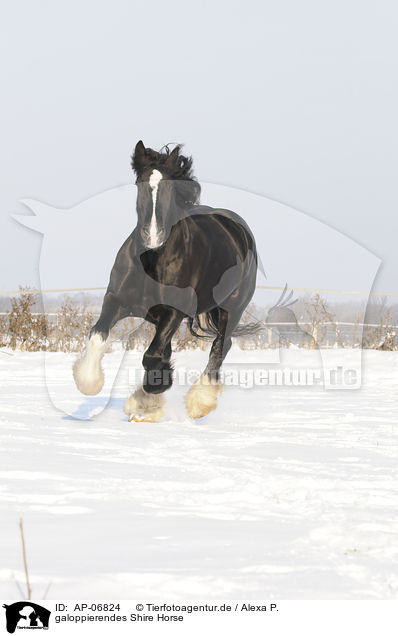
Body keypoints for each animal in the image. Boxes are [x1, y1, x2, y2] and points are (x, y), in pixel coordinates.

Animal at [73, 142, 258, 420]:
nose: (153, 236)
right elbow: (98, 336)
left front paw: (144, 398)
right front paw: (90, 381)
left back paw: (200, 401)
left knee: (220, 346)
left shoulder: (174, 311)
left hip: (232, 308)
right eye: (139, 183)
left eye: (170, 187)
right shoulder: (116, 300)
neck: (153, 259)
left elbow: (152, 356)